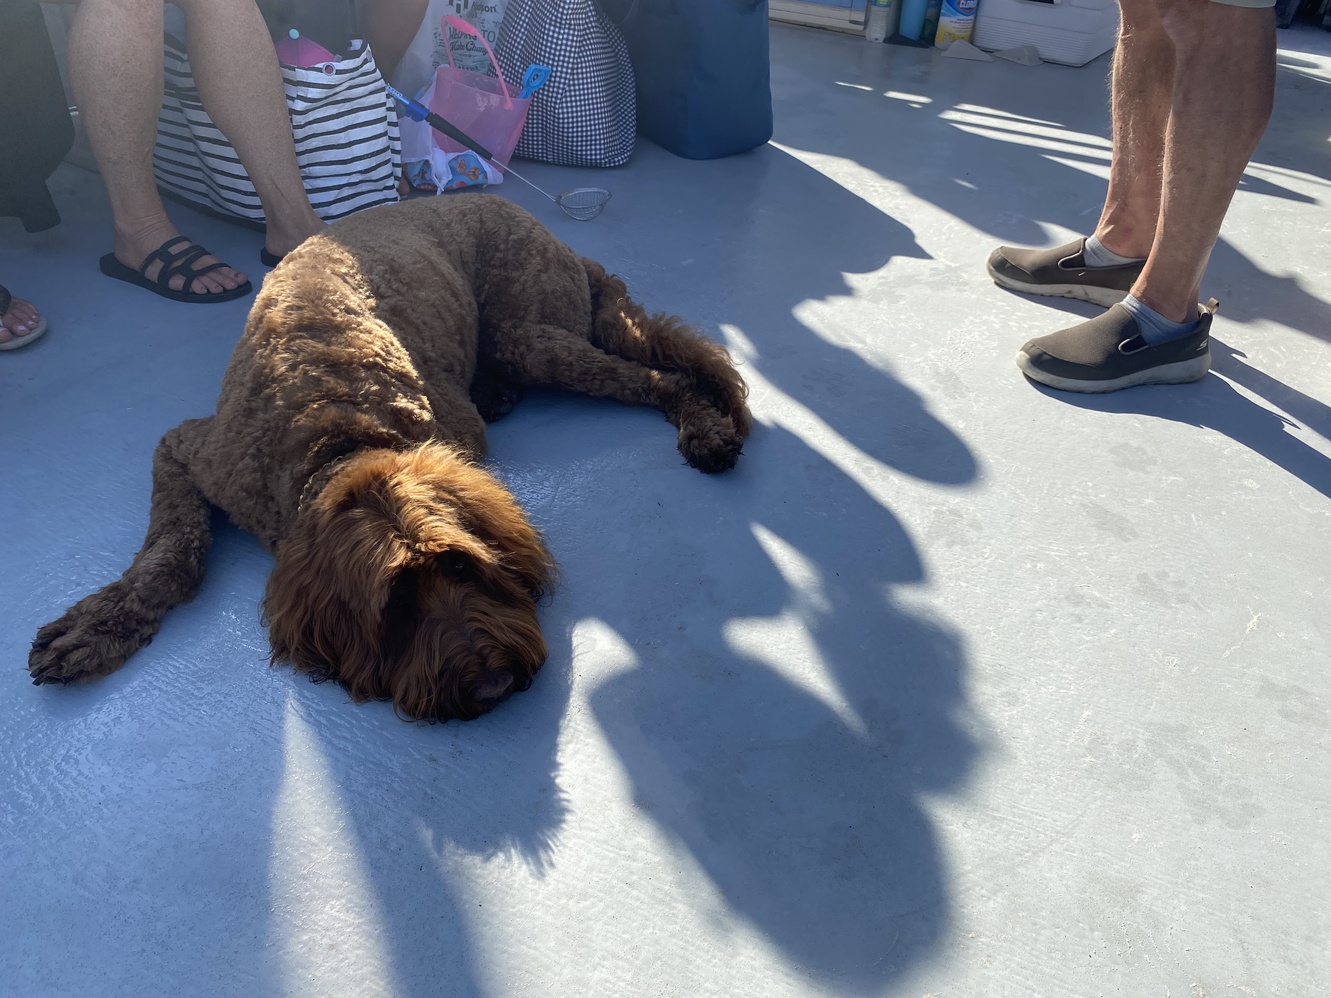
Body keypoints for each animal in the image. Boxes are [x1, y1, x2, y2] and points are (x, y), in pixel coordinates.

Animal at [28, 195, 750, 723]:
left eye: (463, 568)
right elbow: (171, 550)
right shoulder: (189, 449)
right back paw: (499, 392)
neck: (335, 434)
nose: (492, 684)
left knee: (662, 380)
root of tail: (555, 234)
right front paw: (102, 621)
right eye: (395, 603)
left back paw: (700, 425)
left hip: (532, 333)